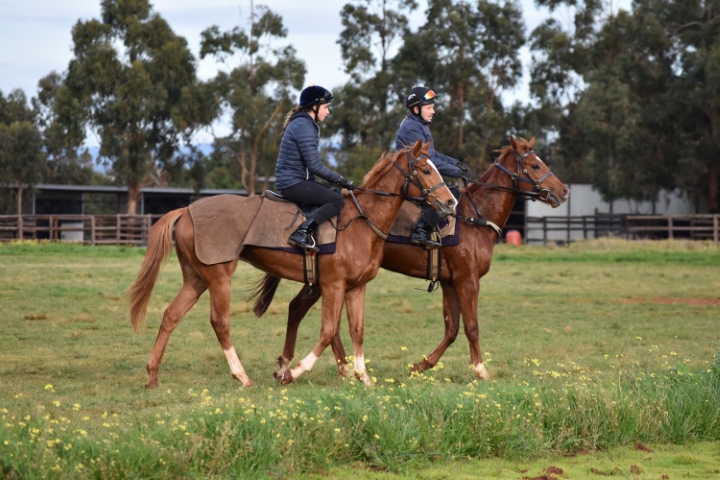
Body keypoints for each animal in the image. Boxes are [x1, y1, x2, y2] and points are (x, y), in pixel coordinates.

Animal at [128, 141, 456, 388]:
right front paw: (291, 373)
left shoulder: (355, 288)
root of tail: (186, 210)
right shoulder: (333, 285)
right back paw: (242, 376)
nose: (450, 202)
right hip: (219, 278)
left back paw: (153, 376)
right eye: (426, 169)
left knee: (171, 315)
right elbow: (327, 331)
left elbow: (357, 330)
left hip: (196, 279)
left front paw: (363, 377)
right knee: (220, 322)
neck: (362, 221)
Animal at [252, 136, 568, 382]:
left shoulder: (451, 282)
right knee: (308, 314)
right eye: (536, 165)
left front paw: (421, 365)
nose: (564, 190)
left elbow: (452, 329)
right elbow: (471, 326)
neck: (473, 217)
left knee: (305, 312)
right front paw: (480, 370)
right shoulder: (467, 280)